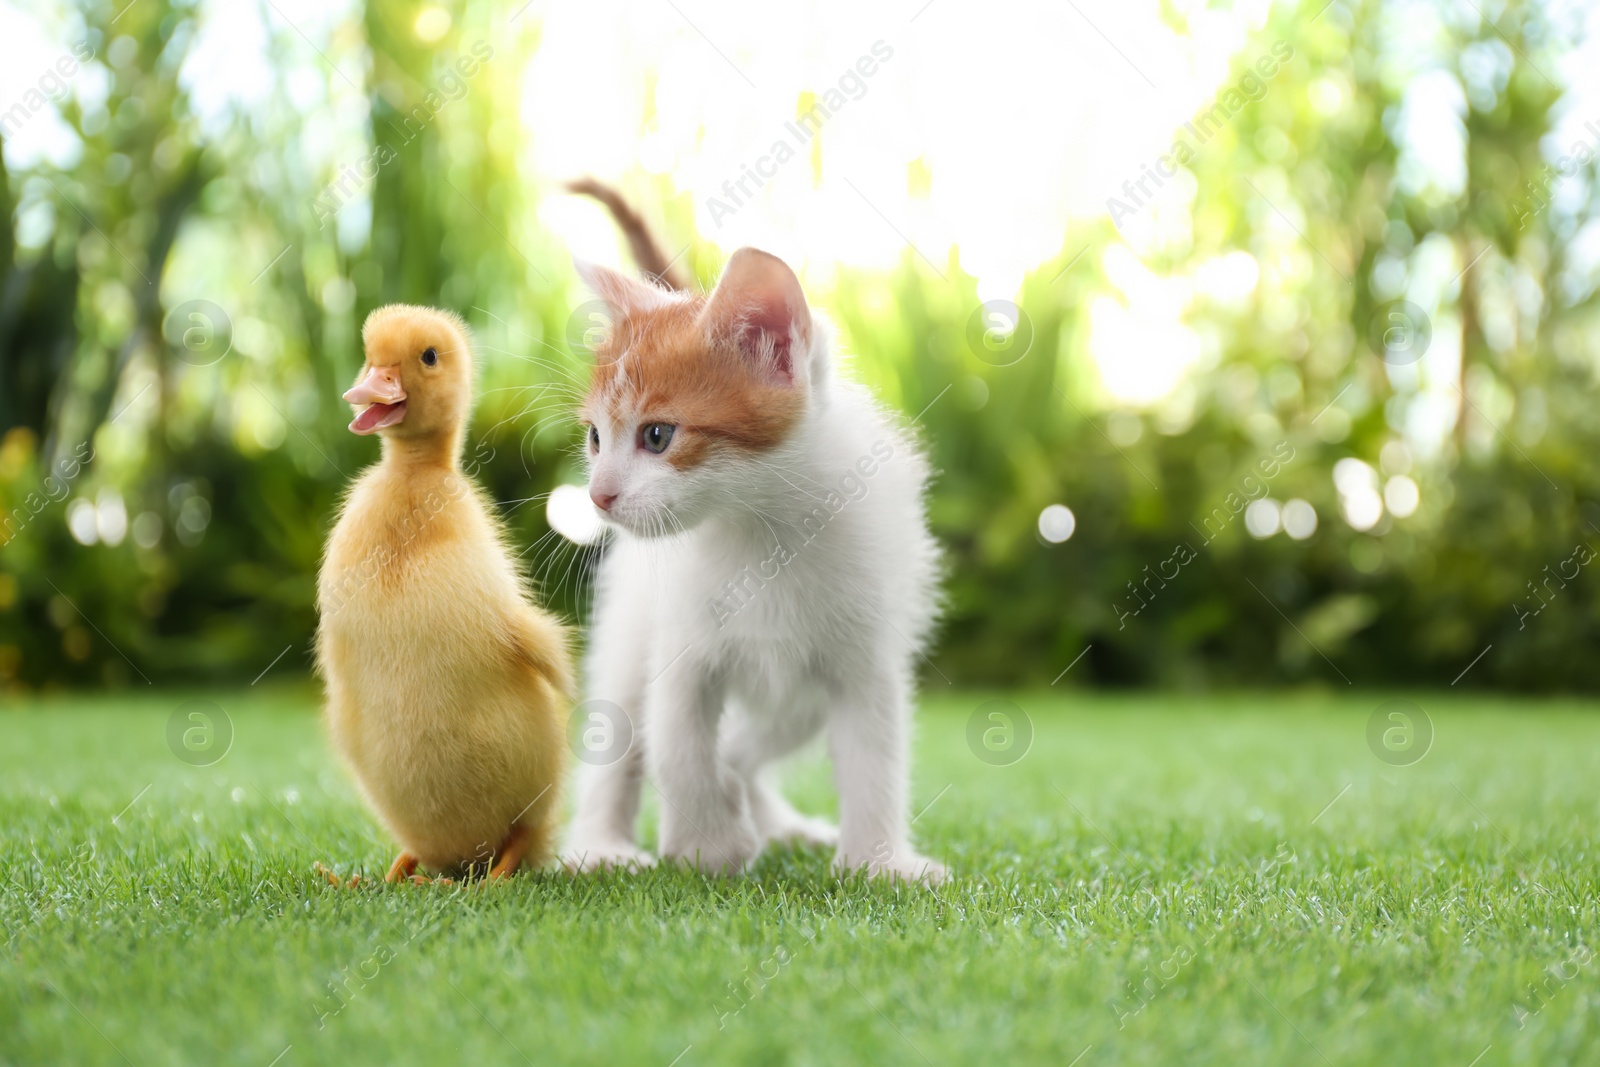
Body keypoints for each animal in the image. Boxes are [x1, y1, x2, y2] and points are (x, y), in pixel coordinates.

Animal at [563, 247, 940, 883]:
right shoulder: (681, 640)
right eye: (594, 437)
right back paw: (600, 845)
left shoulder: (867, 651)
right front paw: (710, 845)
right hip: (630, 623)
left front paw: (878, 864)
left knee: (758, 734)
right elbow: (675, 744)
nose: (598, 496)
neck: (764, 532)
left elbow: (875, 755)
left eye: (657, 435)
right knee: (624, 724)